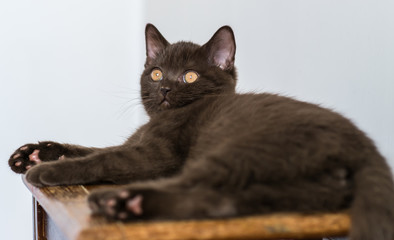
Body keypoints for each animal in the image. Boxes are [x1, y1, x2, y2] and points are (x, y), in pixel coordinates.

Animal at [7, 23, 392, 239]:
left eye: (189, 76)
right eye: (157, 73)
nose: (164, 89)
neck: (161, 119)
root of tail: (364, 145)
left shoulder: (155, 155)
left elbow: (104, 158)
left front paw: (44, 169)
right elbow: (90, 148)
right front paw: (33, 152)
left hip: (237, 149)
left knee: (199, 187)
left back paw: (118, 200)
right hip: (296, 189)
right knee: (219, 201)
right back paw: (125, 203)